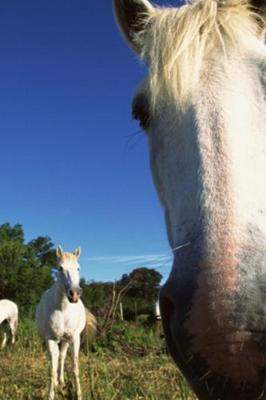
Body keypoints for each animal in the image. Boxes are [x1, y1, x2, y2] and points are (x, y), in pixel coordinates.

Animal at [36, 247, 85, 400]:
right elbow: (52, 369)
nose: (74, 294)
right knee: (57, 358)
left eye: (78, 268)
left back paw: (62, 381)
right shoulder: (51, 339)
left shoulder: (74, 339)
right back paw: (58, 383)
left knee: (62, 357)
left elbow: (75, 367)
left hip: (66, 340)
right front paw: (51, 395)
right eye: (60, 268)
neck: (63, 310)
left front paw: (79, 394)